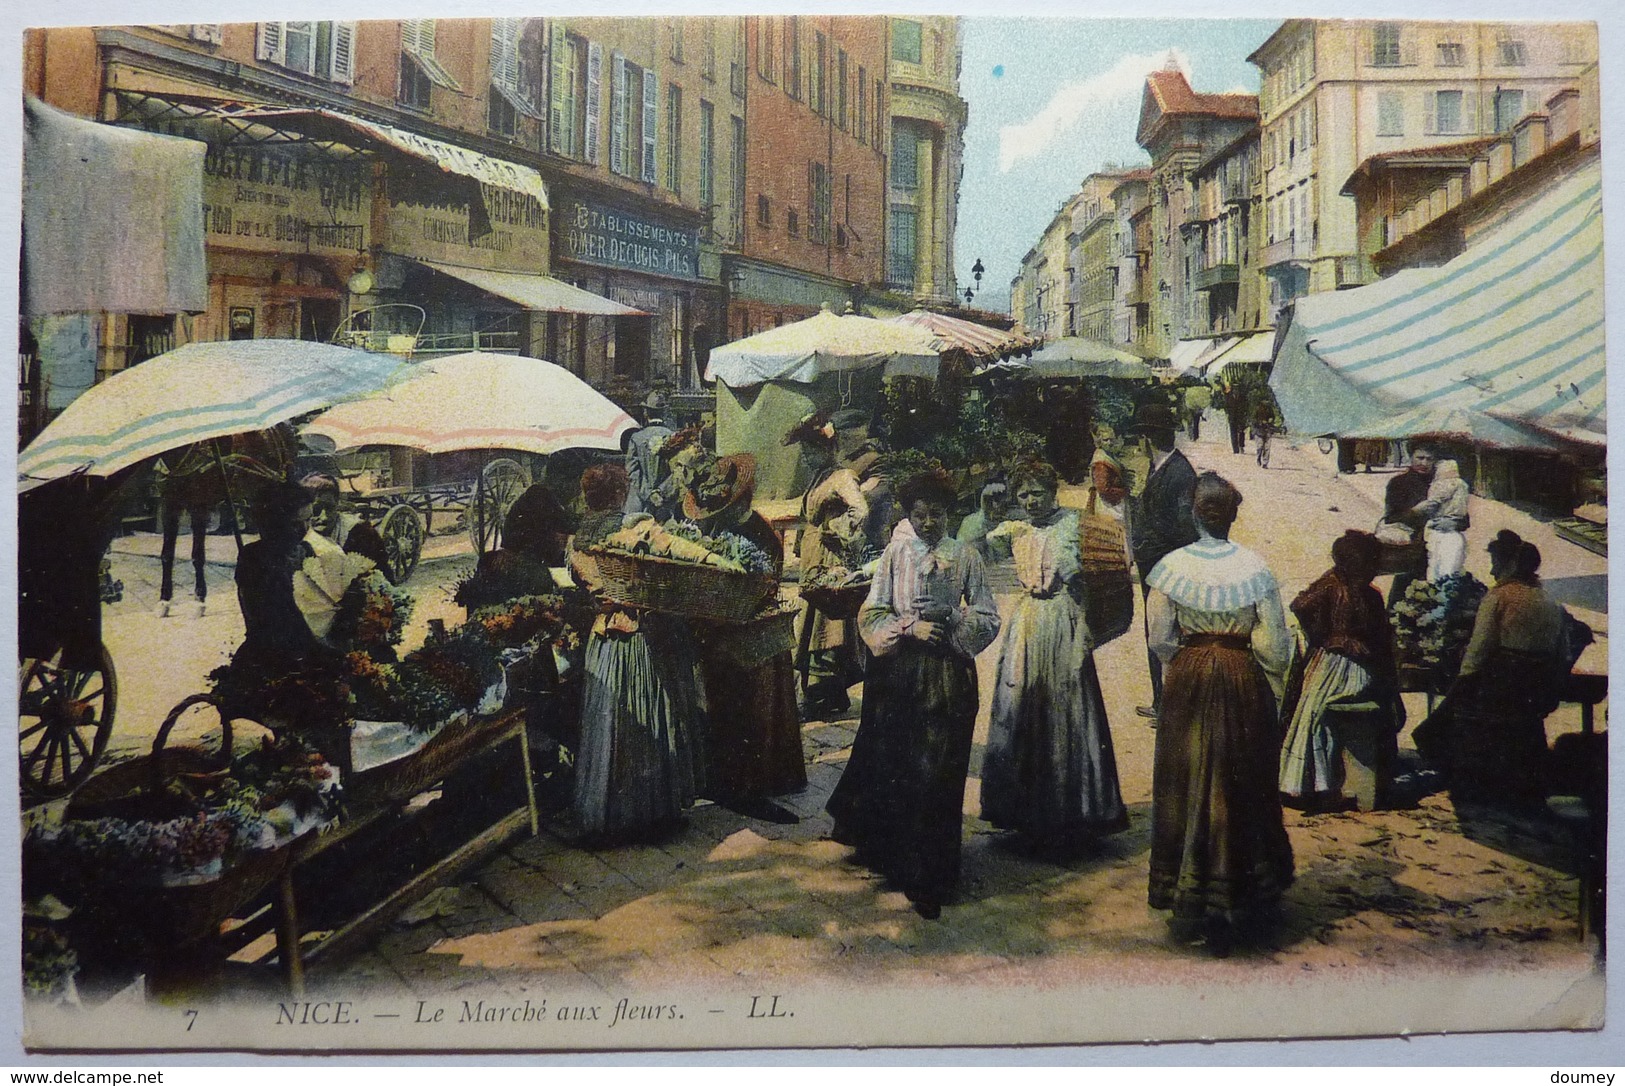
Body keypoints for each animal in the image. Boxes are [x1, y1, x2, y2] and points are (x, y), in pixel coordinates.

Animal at [153, 425, 297, 614]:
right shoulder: (169, 504)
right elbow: (166, 555)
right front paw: (164, 601)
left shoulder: (200, 506)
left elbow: (197, 556)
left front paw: (200, 601)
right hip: (258, 497)